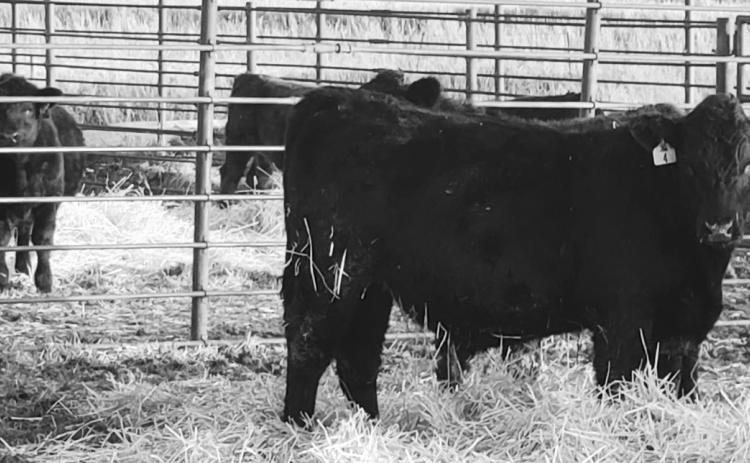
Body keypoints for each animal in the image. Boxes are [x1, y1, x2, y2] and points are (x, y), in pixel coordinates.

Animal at [0, 74, 86, 292]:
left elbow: (42, 238)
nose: (8, 136)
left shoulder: (49, 201)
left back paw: (23, 268)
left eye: (28, 109)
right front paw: (2, 279)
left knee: (25, 232)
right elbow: (2, 238)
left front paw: (44, 281)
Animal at [281, 87, 750, 425]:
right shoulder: (622, 318)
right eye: (691, 166)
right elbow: (615, 385)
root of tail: (334, 100)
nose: (719, 228)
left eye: (746, 165)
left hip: (371, 287)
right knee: (308, 345)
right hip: (330, 274)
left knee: (358, 358)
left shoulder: (682, 330)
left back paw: (372, 426)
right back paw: (298, 426)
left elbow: (683, 387)